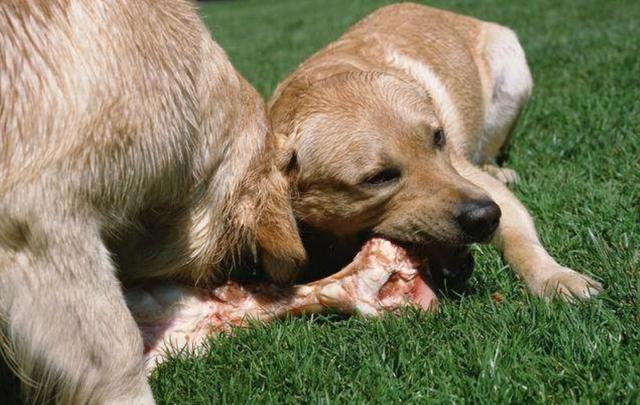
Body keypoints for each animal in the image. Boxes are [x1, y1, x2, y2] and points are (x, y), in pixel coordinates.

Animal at [268, 3, 600, 300]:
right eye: (378, 178)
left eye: (439, 138)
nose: (486, 216)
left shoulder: (477, 182)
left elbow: (521, 239)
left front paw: (556, 277)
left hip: (512, 73)